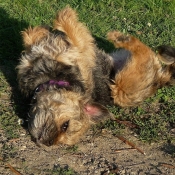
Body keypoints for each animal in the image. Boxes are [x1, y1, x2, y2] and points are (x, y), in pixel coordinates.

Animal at [16, 6, 175, 146]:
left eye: (65, 126)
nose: (48, 143)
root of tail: (160, 81)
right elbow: (34, 37)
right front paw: (41, 31)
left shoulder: (81, 50)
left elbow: (73, 30)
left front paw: (65, 15)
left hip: (121, 91)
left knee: (144, 50)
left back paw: (120, 38)